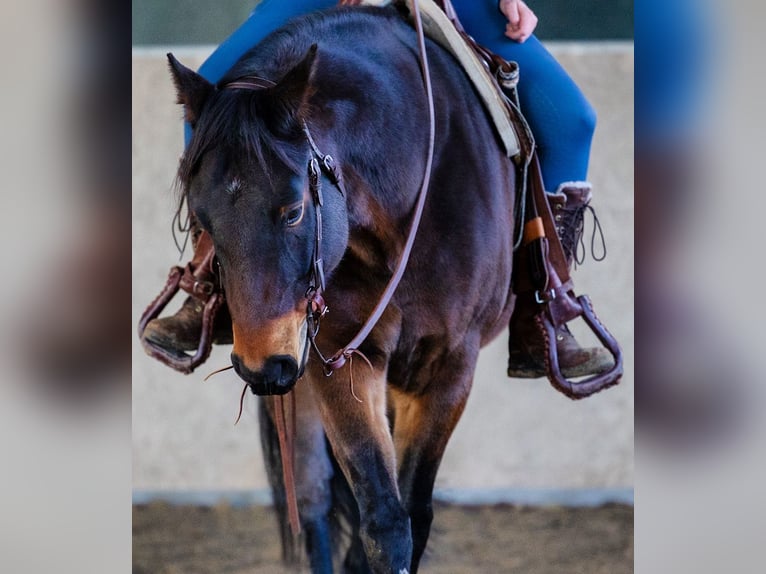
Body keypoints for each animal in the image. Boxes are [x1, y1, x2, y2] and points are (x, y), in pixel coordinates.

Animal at [168, 4, 516, 572]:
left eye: (293, 211)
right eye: (203, 222)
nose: (261, 366)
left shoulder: (448, 366)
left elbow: (412, 515)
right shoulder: (340, 354)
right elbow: (382, 520)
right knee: (312, 496)